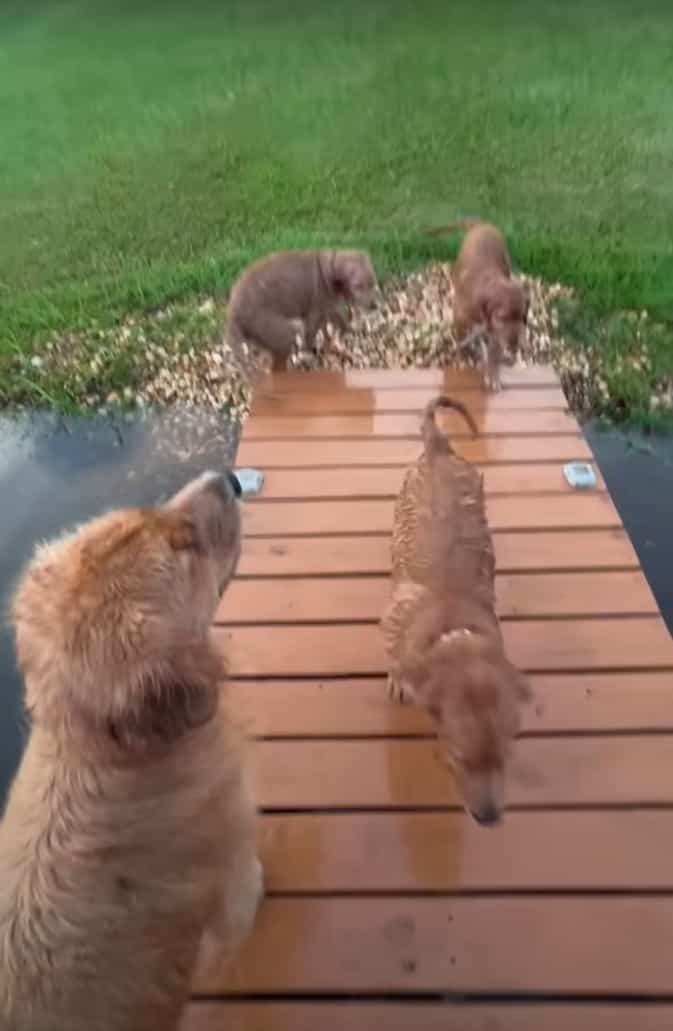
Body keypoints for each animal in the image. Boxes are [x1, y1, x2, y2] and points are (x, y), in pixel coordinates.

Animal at [226, 248, 377, 371]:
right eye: (358, 286)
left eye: (372, 283)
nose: (374, 306)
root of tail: (232, 314)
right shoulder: (314, 316)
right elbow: (312, 339)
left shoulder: (326, 310)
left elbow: (335, 327)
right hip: (289, 329)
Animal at [377, 397, 531, 824]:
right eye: (460, 757)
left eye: (507, 754)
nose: (489, 818)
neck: (454, 633)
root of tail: (438, 448)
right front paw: (398, 680)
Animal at [424, 219, 531, 391]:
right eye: (502, 317)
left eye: (522, 316)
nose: (514, 347)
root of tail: (483, 224)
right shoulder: (461, 321)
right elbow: (462, 345)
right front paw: (463, 360)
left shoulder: (495, 333)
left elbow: (494, 351)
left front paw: (493, 374)